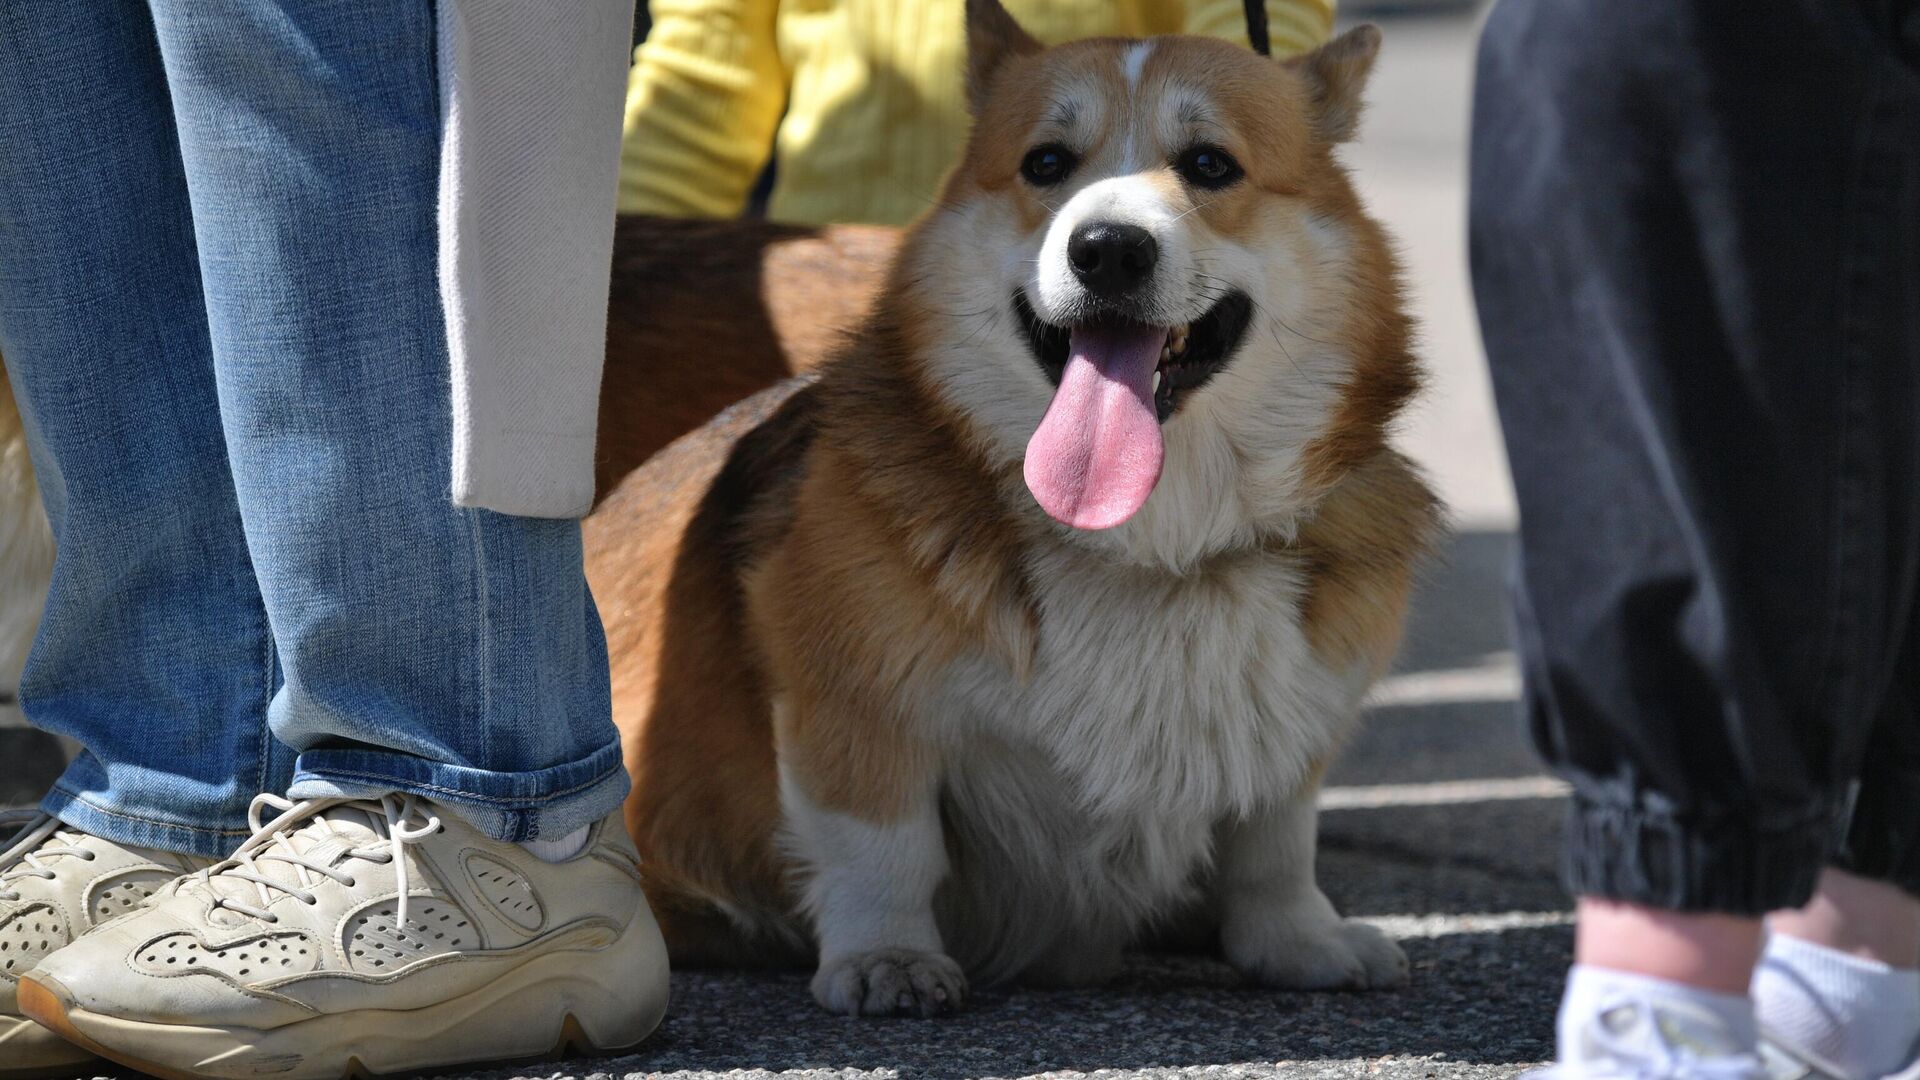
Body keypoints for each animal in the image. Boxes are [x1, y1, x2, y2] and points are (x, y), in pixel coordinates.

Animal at [583, 0, 1443, 1006]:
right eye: (1045, 163)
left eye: (1209, 164)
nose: (1106, 250)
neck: (1146, 551)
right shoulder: (850, 698)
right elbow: (884, 845)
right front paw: (888, 958)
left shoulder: (1293, 726)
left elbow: (1273, 842)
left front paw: (1300, 941)